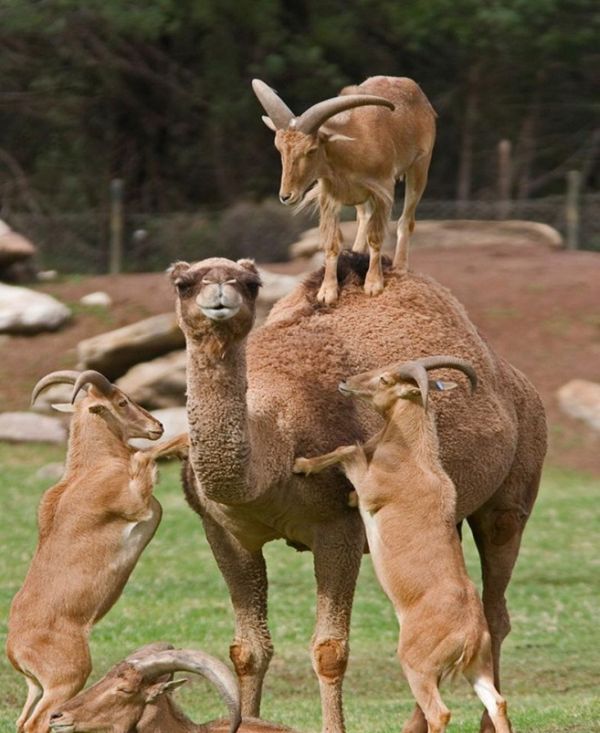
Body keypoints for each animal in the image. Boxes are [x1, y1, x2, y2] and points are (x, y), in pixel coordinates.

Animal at [170, 252, 546, 733]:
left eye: (252, 283)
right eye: (183, 282)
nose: (219, 292)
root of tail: (517, 380)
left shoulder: (338, 529)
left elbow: (330, 650)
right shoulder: (224, 532)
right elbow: (248, 649)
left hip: (510, 500)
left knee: (495, 608)